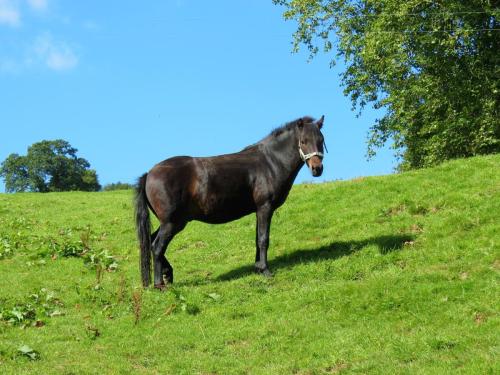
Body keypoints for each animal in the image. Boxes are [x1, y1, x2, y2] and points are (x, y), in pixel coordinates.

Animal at [135, 114, 326, 288]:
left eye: (321, 140)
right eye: (304, 141)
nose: (317, 169)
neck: (270, 162)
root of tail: (149, 174)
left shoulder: (258, 210)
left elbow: (257, 239)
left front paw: (258, 267)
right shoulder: (265, 207)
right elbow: (263, 238)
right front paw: (265, 270)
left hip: (171, 222)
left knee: (152, 242)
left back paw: (168, 274)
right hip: (172, 223)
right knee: (157, 247)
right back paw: (159, 283)